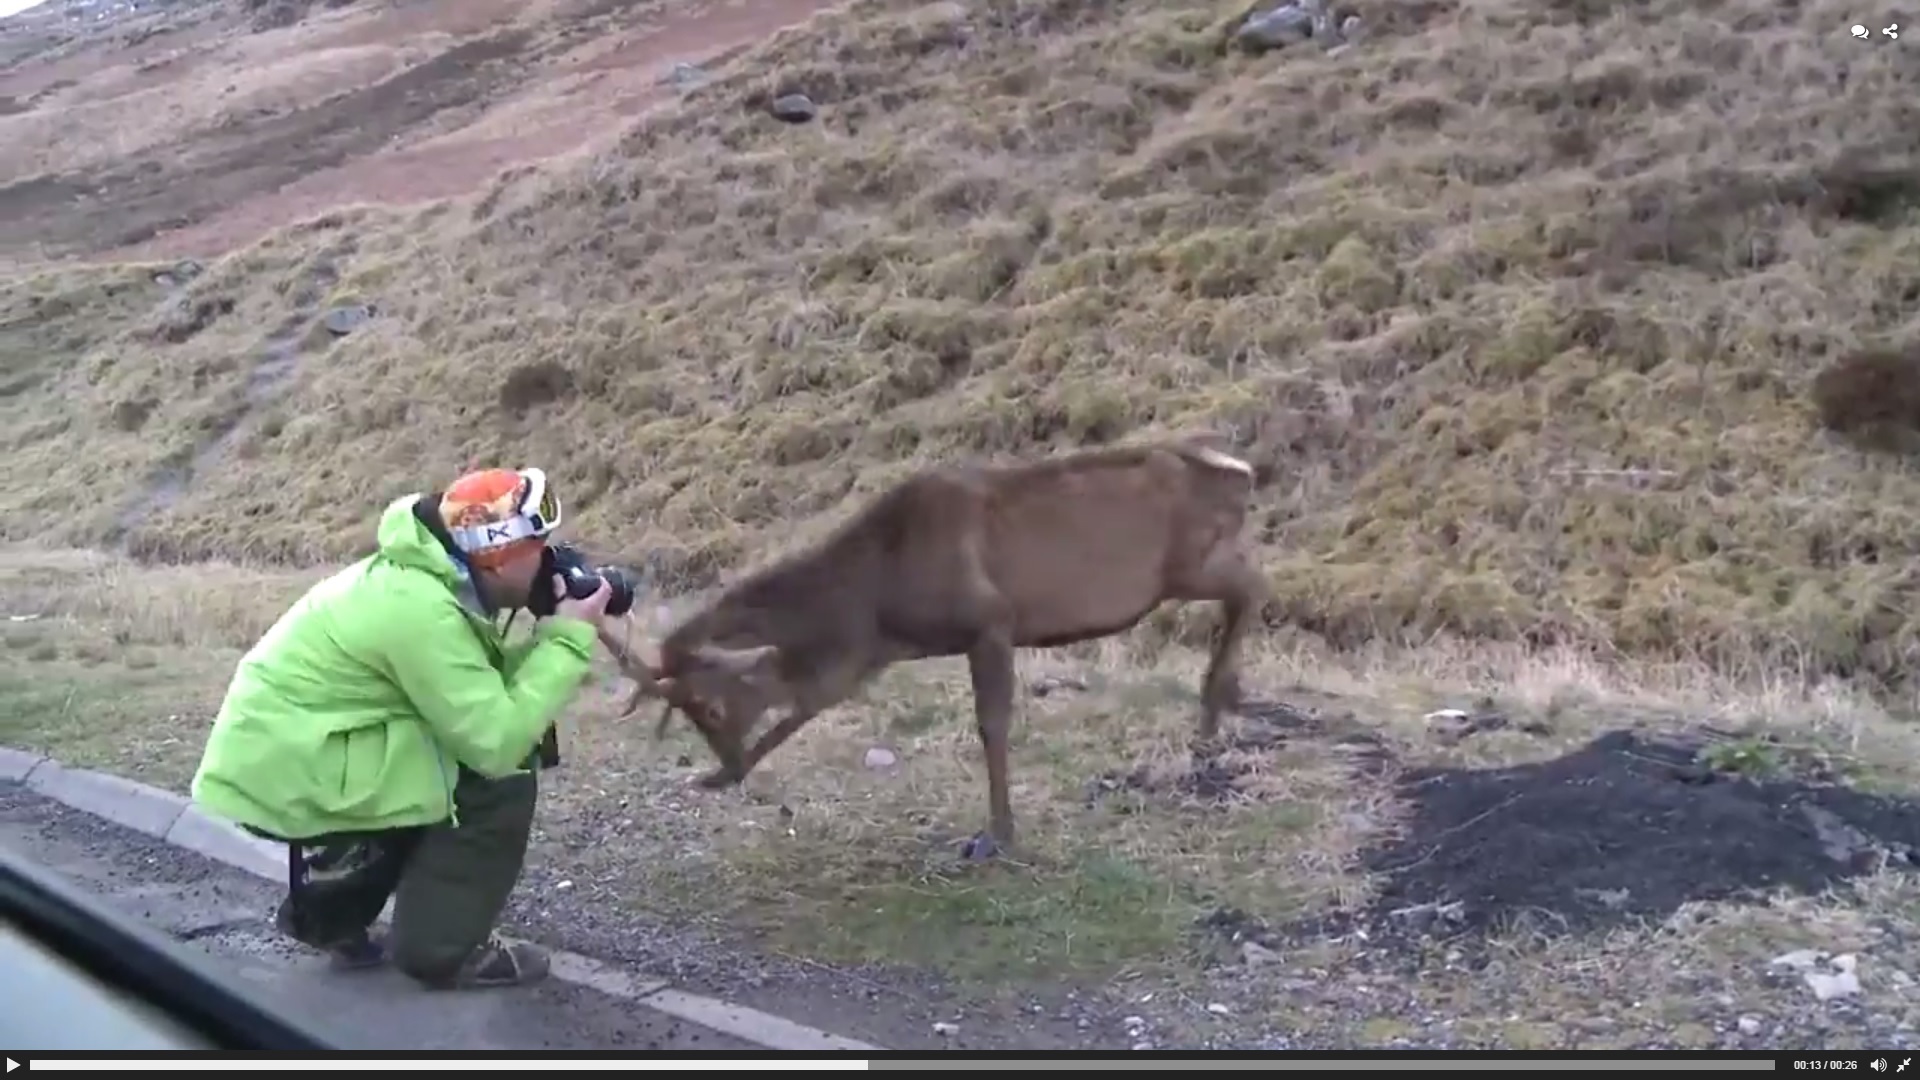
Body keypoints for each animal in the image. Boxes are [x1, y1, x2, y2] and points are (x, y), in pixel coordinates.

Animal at [591, 432, 1267, 860]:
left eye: (710, 706)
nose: (724, 762)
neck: (876, 602)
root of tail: (1242, 473)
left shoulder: (989, 620)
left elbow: (992, 724)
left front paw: (996, 836)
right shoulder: (866, 656)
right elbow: (805, 706)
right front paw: (715, 779)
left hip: (1185, 563)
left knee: (1253, 581)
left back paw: (1217, 703)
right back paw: (1220, 707)